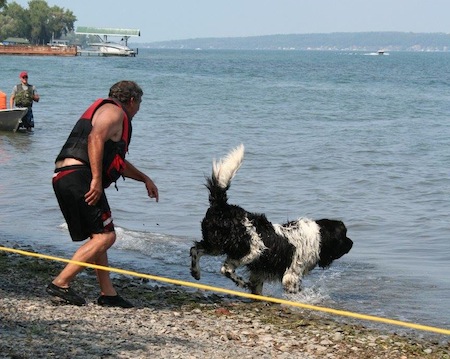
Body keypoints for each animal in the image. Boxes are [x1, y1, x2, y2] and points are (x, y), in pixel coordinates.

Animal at [188, 145, 354, 296]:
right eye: (344, 235)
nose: (352, 243)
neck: (318, 236)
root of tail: (222, 207)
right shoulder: (291, 277)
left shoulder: (259, 275)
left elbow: (257, 289)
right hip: (251, 250)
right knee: (225, 268)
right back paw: (240, 282)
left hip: (216, 244)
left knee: (195, 249)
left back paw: (196, 272)